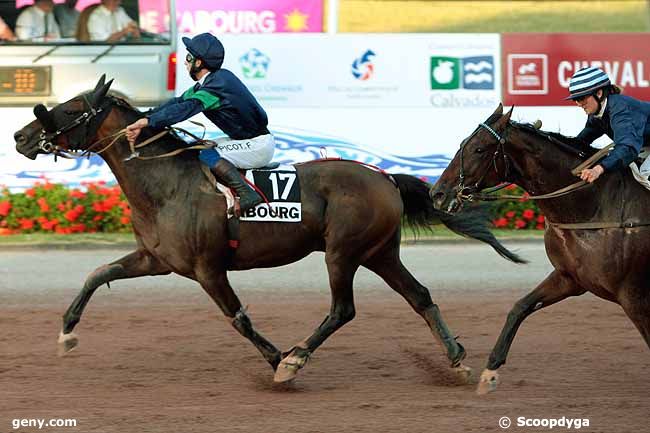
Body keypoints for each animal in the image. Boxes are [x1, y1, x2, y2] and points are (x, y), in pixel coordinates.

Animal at [13, 76, 520, 384]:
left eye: (70, 109)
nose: (19, 136)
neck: (165, 183)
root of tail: (385, 178)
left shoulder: (207, 269)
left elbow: (238, 318)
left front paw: (277, 358)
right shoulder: (156, 259)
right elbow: (97, 274)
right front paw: (67, 332)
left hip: (342, 252)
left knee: (343, 309)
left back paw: (296, 358)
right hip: (380, 253)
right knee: (420, 296)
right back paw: (455, 357)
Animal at [430, 103, 648, 394]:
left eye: (479, 149)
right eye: (463, 144)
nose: (438, 193)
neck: (595, 206)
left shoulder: (635, 297)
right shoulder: (571, 278)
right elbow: (520, 307)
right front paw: (490, 372)